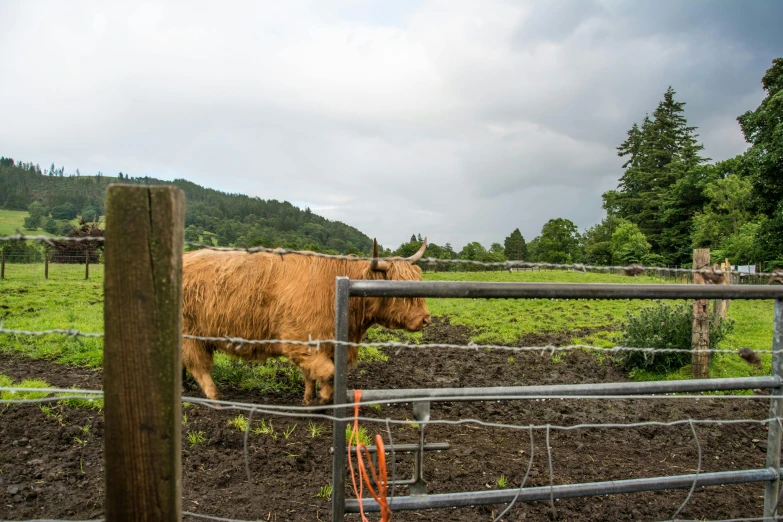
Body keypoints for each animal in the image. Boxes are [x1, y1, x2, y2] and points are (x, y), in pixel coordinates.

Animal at [181, 238, 432, 404]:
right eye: (400, 289)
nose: (426, 319)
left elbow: (311, 374)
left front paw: (309, 400)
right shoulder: (301, 340)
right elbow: (329, 374)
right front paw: (322, 400)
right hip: (189, 333)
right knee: (198, 365)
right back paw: (215, 397)